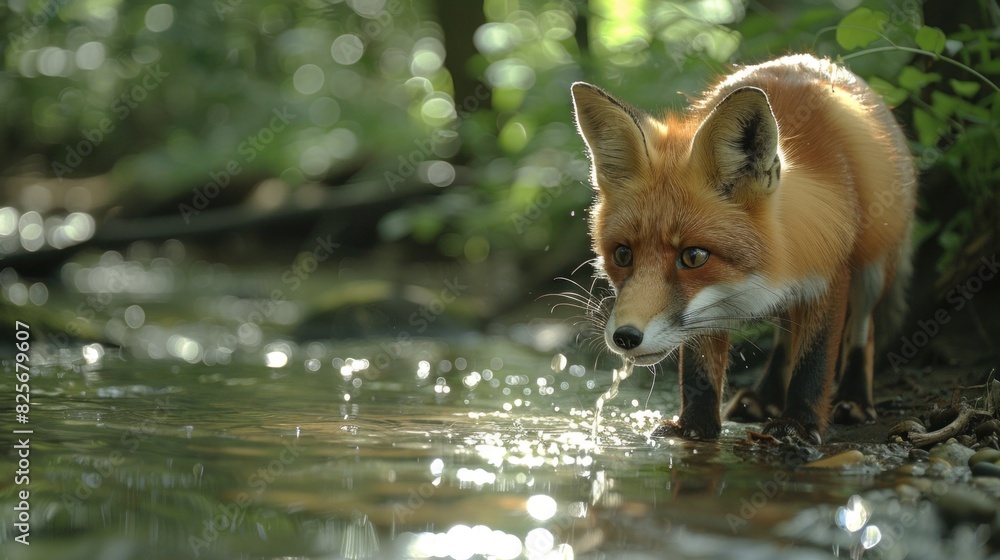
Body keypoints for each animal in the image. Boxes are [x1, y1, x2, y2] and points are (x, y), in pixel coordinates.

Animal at [571, 54, 916, 444]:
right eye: (622, 255)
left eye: (693, 257)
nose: (625, 337)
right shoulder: (709, 307)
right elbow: (700, 367)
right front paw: (693, 427)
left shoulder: (829, 276)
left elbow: (814, 362)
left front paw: (799, 424)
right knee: (785, 337)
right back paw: (764, 397)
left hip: (874, 269)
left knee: (862, 330)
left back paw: (854, 399)